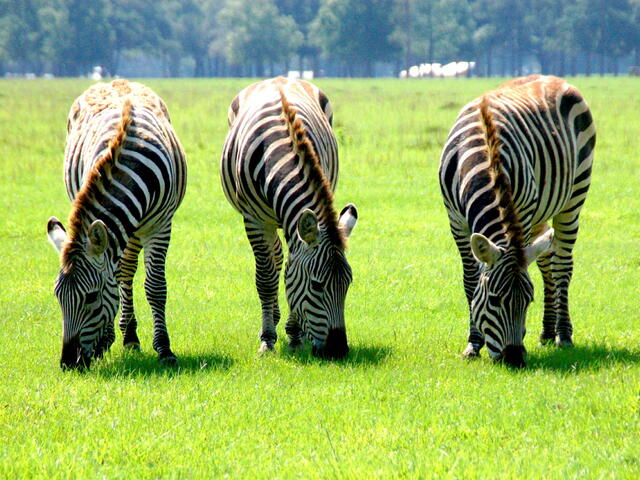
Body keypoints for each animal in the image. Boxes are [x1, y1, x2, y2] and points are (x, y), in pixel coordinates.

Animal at [46, 79, 187, 370]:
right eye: (57, 296)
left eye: (91, 297)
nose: (68, 363)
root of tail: (116, 81)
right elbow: (117, 277)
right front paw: (106, 341)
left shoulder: (160, 224)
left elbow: (155, 286)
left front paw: (164, 349)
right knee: (123, 272)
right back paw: (126, 336)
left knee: (127, 270)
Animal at [221, 77, 358, 359]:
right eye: (316, 286)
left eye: (348, 283)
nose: (338, 350)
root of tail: (278, 80)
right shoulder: (255, 220)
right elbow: (266, 279)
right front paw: (268, 340)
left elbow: (288, 271)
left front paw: (295, 335)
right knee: (272, 261)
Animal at [439, 75, 595, 367]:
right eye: (493, 300)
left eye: (528, 301)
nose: (514, 359)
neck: (485, 157)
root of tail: (554, 78)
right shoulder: (455, 220)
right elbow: (470, 280)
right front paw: (473, 344)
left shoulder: (520, 213)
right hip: (541, 215)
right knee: (546, 263)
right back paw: (547, 333)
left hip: (574, 196)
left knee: (561, 266)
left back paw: (563, 335)